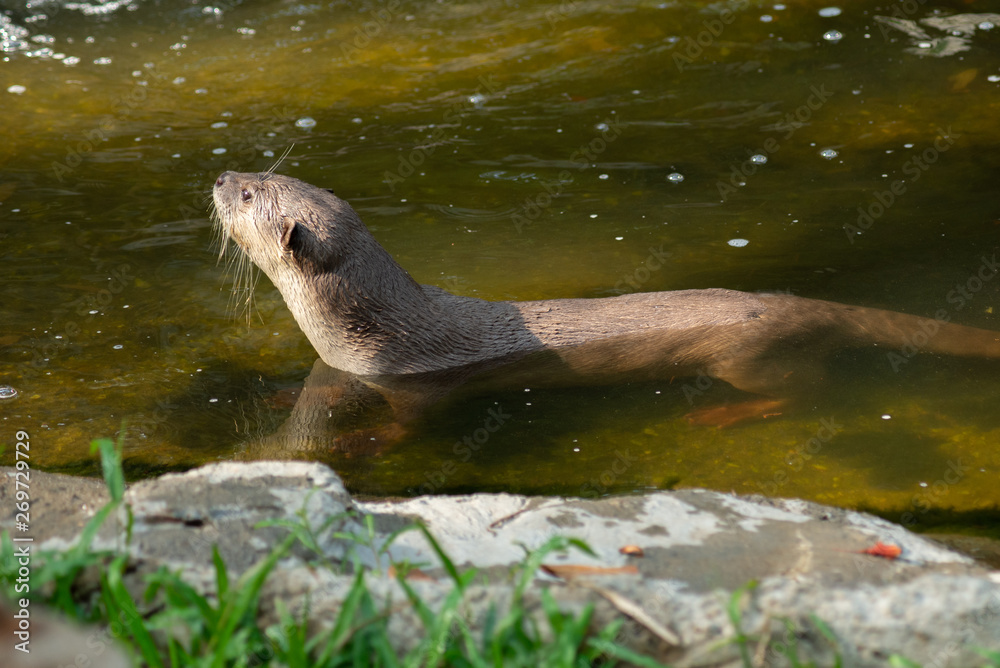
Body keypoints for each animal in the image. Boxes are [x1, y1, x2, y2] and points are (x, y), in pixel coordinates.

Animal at [212, 170, 1000, 430]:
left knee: (799, 390)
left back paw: (722, 415)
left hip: (750, 356)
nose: (220, 175)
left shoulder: (415, 386)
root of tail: (798, 303)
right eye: (261, 171)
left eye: (250, 195)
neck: (373, 328)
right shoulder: (345, 369)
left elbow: (409, 425)